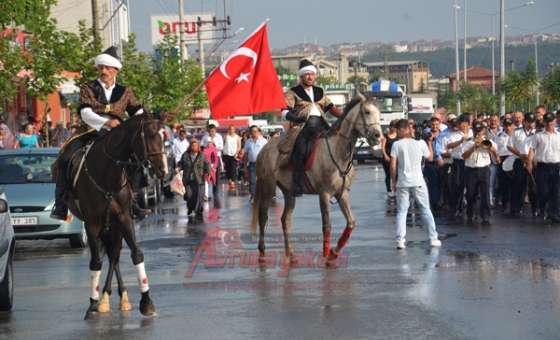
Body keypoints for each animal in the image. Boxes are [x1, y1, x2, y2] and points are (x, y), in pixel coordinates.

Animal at [66, 114, 166, 318]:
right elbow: (96, 262)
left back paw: (116, 297)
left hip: (114, 226)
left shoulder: (124, 218)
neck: (107, 175)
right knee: (110, 255)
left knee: (114, 255)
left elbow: (136, 254)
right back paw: (103, 299)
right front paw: (93, 303)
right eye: (151, 135)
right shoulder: (92, 224)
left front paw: (146, 302)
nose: (162, 169)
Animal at [252, 94, 382, 264]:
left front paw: (334, 252)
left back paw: (290, 254)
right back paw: (261, 253)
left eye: (379, 112)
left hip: (289, 192)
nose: (377, 136)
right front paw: (327, 254)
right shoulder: (324, 194)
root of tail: (264, 149)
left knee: (285, 220)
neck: (336, 150)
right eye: (366, 111)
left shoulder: (342, 194)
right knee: (263, 216)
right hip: (268, 187)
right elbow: (327, 225)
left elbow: (351, 223)